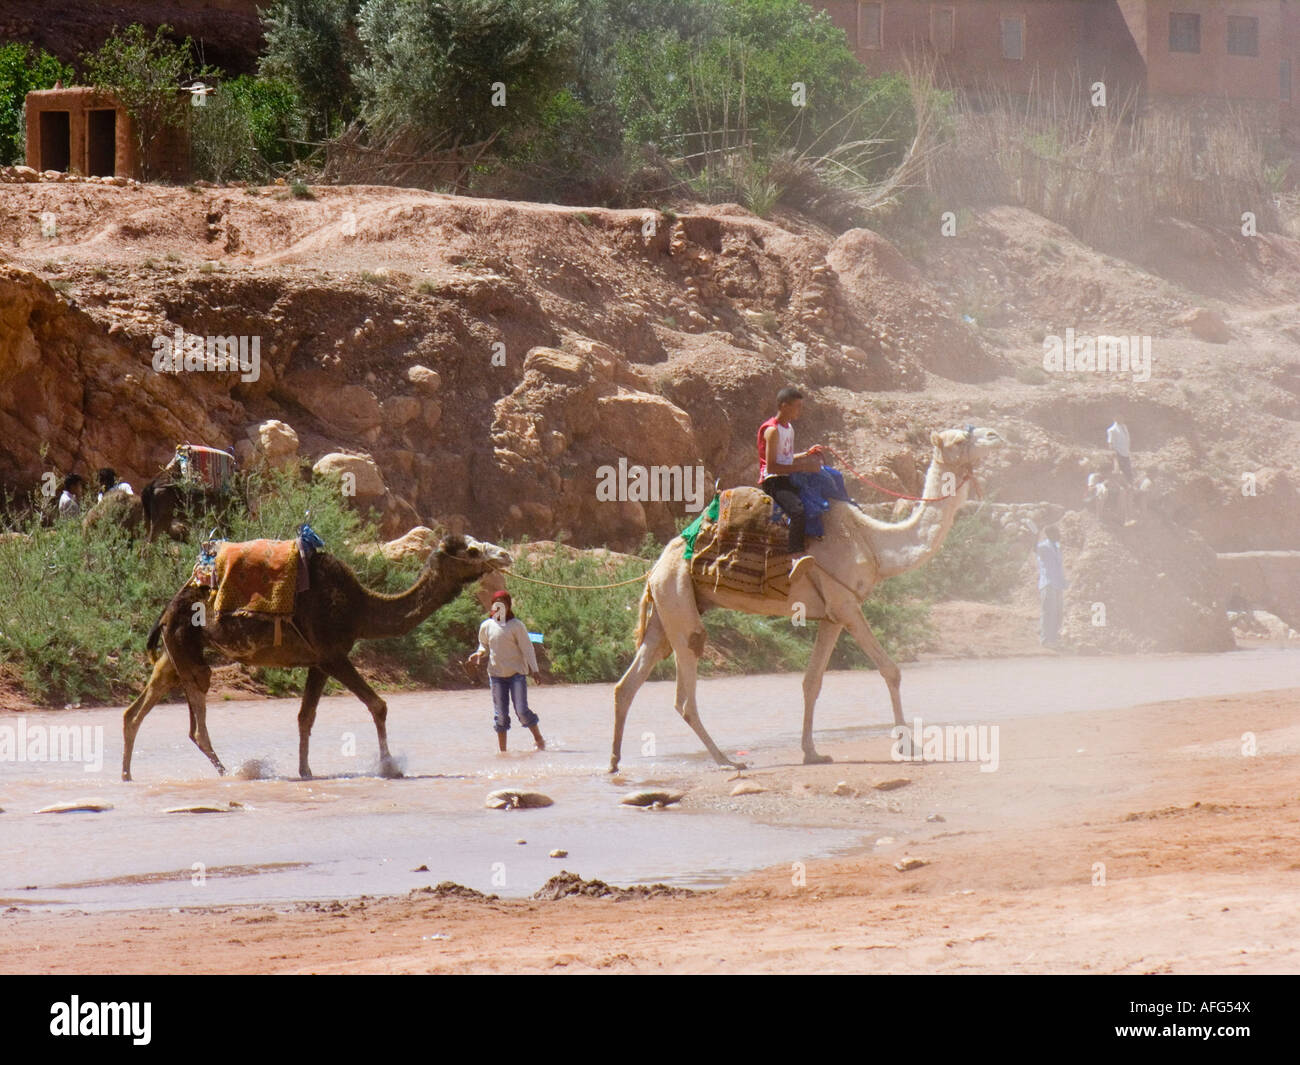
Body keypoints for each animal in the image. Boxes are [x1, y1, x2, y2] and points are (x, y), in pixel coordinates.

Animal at [120, 538, 506, 780]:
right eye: (472, 549)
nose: (503, 556)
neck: (361, 609)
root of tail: (167, 609)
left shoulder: (318, 662)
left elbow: (305, 717)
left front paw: (306, 771)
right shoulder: (334, 654)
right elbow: (378, 705)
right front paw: (390, 767)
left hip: (173, 654)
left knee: (135, 711)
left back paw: (126, 775)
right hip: (187, 648)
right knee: (196, 725)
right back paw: (231, 773)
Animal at [608, 426, 1003, 775]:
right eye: (958, 439)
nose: (996, 435)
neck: (873, 543)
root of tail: (655, 566)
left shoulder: (831, 615)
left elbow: (811, 682)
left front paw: (812, 753)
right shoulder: (847, 605)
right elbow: (891, 669)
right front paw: (908, 746)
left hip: (665, 610)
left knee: (628, 683)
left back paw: (614, 762)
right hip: (677, 598)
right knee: (685, 691)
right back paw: (727, 762)